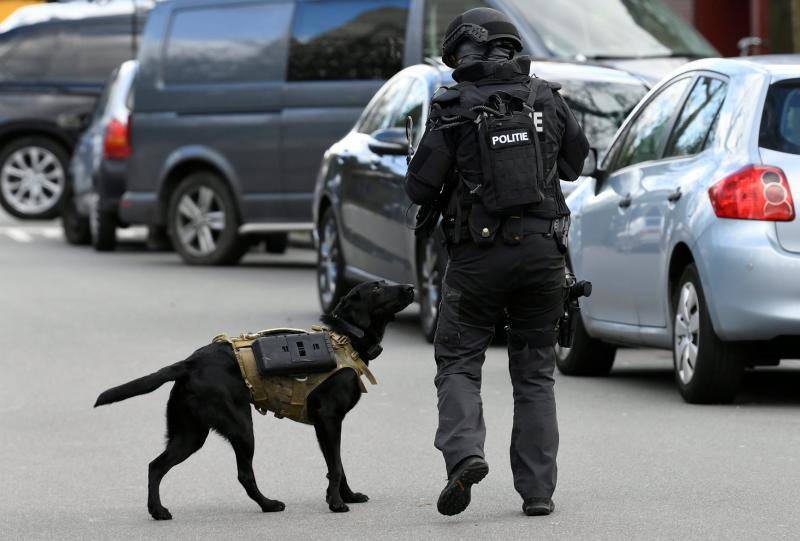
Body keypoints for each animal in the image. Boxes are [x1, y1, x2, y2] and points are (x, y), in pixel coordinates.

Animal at [95, 280, 412, 516]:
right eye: (377, 288)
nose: (410, 287)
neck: (344, 339)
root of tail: (189, 362)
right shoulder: (329, 420)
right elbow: (335, 466)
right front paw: (336, 503)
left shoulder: (328, 426)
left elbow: (339, 464)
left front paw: (348, 495)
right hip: (241, 428)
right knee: (243, 474)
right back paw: (268, 504)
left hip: (190, 434)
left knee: (156, 466)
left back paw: (157, 511)